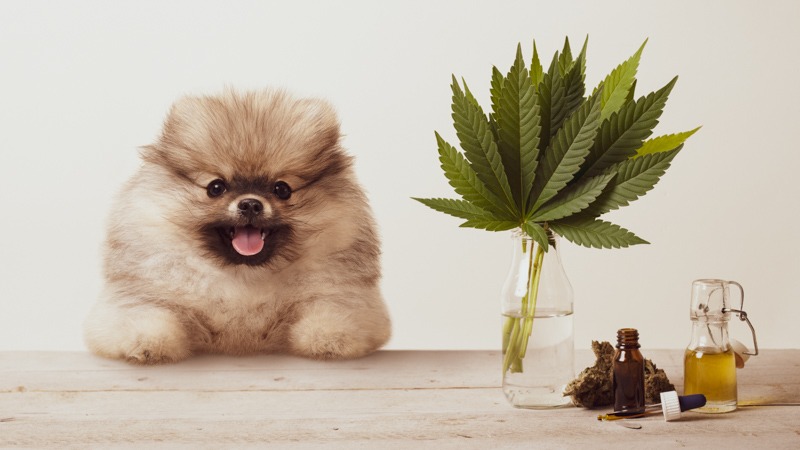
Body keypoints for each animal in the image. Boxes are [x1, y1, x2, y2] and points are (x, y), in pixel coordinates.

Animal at [84, 89, 390, 366]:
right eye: (216, 187)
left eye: (282, 189)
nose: (251, 204)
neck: (243, 279)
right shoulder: (142, 295)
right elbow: (147, 316)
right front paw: (146, 343)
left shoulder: (339, 295)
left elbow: (333, 314)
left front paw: (330, 339)